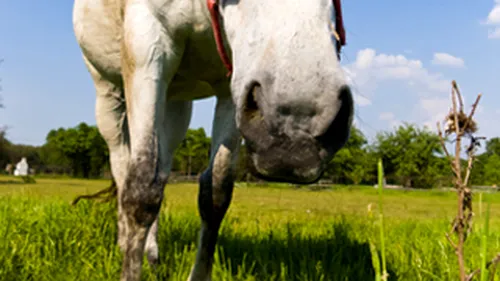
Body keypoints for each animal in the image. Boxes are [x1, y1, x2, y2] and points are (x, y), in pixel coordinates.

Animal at [72, 0, 354, 278]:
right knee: (122, 170)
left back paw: (153, 257)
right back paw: (125, 243)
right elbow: (140, 190)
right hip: (108, 96)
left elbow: (215, 193)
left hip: (175, 105)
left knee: (161, 171)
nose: (296, 126)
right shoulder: (146, 46)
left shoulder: (233, 84)